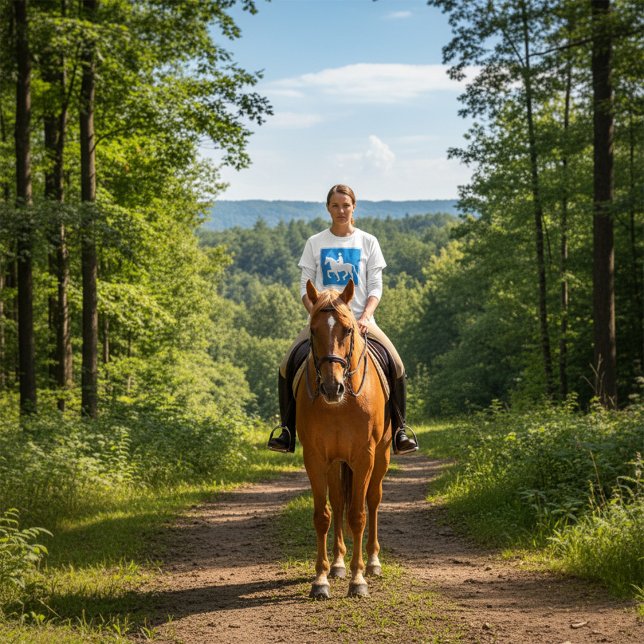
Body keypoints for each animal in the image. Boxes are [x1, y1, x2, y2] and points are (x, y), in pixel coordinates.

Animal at [296, 278, 391, 599]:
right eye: (313, 330)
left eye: (348, 330)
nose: (331, 387)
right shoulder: (315, 457)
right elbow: (322, 515)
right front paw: (321, 579)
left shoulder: (364, 456)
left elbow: (358, 515)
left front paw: (358, 580)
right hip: (336, 462)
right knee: (337, 503)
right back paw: (337, 565)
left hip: (382, 456)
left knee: (373, 500)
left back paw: (373, 562)